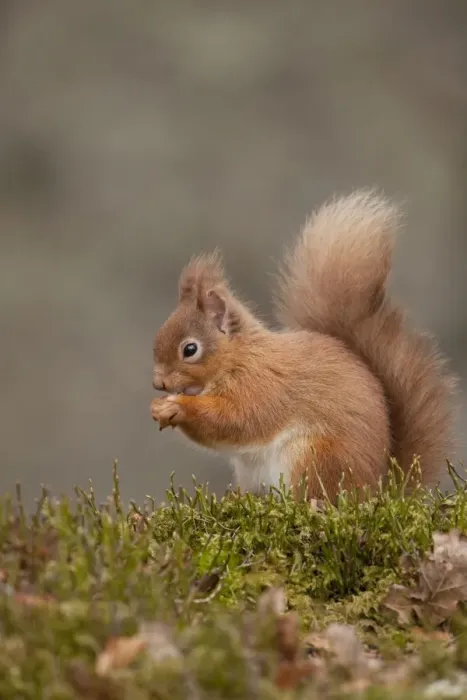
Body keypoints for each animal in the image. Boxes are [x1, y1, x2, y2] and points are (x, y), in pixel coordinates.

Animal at [150, 190, 457, 502]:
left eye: (190, 350)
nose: (158, 383)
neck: (238, 357)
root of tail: (375, 489)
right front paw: (159, 407)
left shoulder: (261, 386)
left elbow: (235, 420)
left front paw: (179, 407)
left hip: (313, 457)